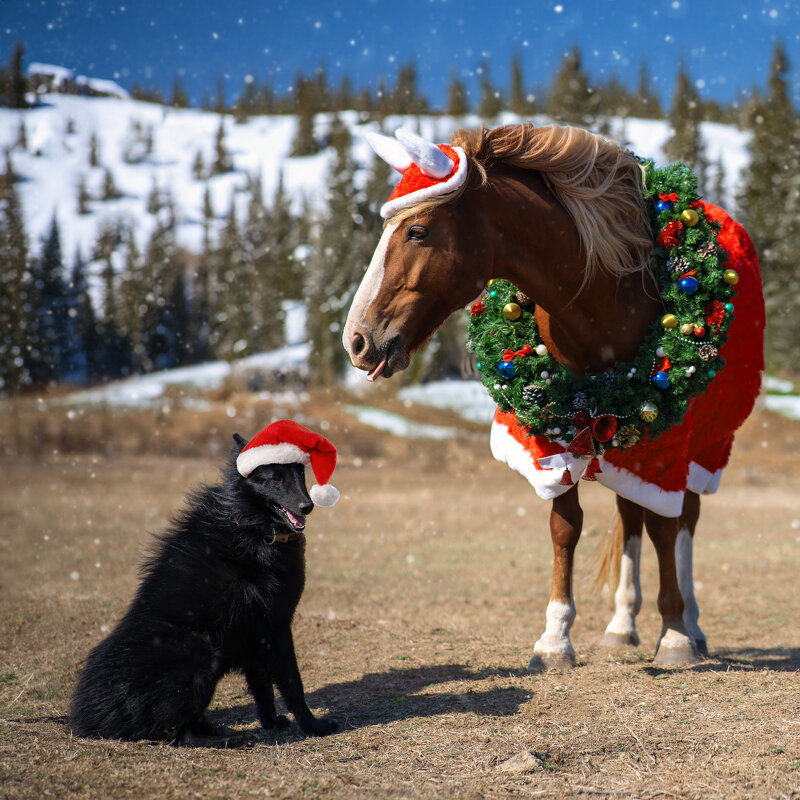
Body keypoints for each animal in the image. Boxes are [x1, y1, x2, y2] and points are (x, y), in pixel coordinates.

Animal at [72, 432, 338, 744]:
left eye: (301, 475)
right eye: (275, 478)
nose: (307, 506)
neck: (252, 524)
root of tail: (94, 719)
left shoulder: (255, 632)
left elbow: (262, 688)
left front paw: (272, 723)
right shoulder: (276, 626)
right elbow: (292, 684)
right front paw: (315, 727)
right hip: (200, 652)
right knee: (178, 733)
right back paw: (228, 739)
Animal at [340, 123, 764, 668]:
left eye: (417, 231)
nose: (357, 340)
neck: (604, 298)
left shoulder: (669, 441)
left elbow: (665, 530)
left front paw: (673, 636)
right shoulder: (551, 430)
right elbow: (567, 525)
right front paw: (555, 638)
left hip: (704, 442)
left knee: (684, 517)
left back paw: (690, 621)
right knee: (631, 514)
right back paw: (622, 623)